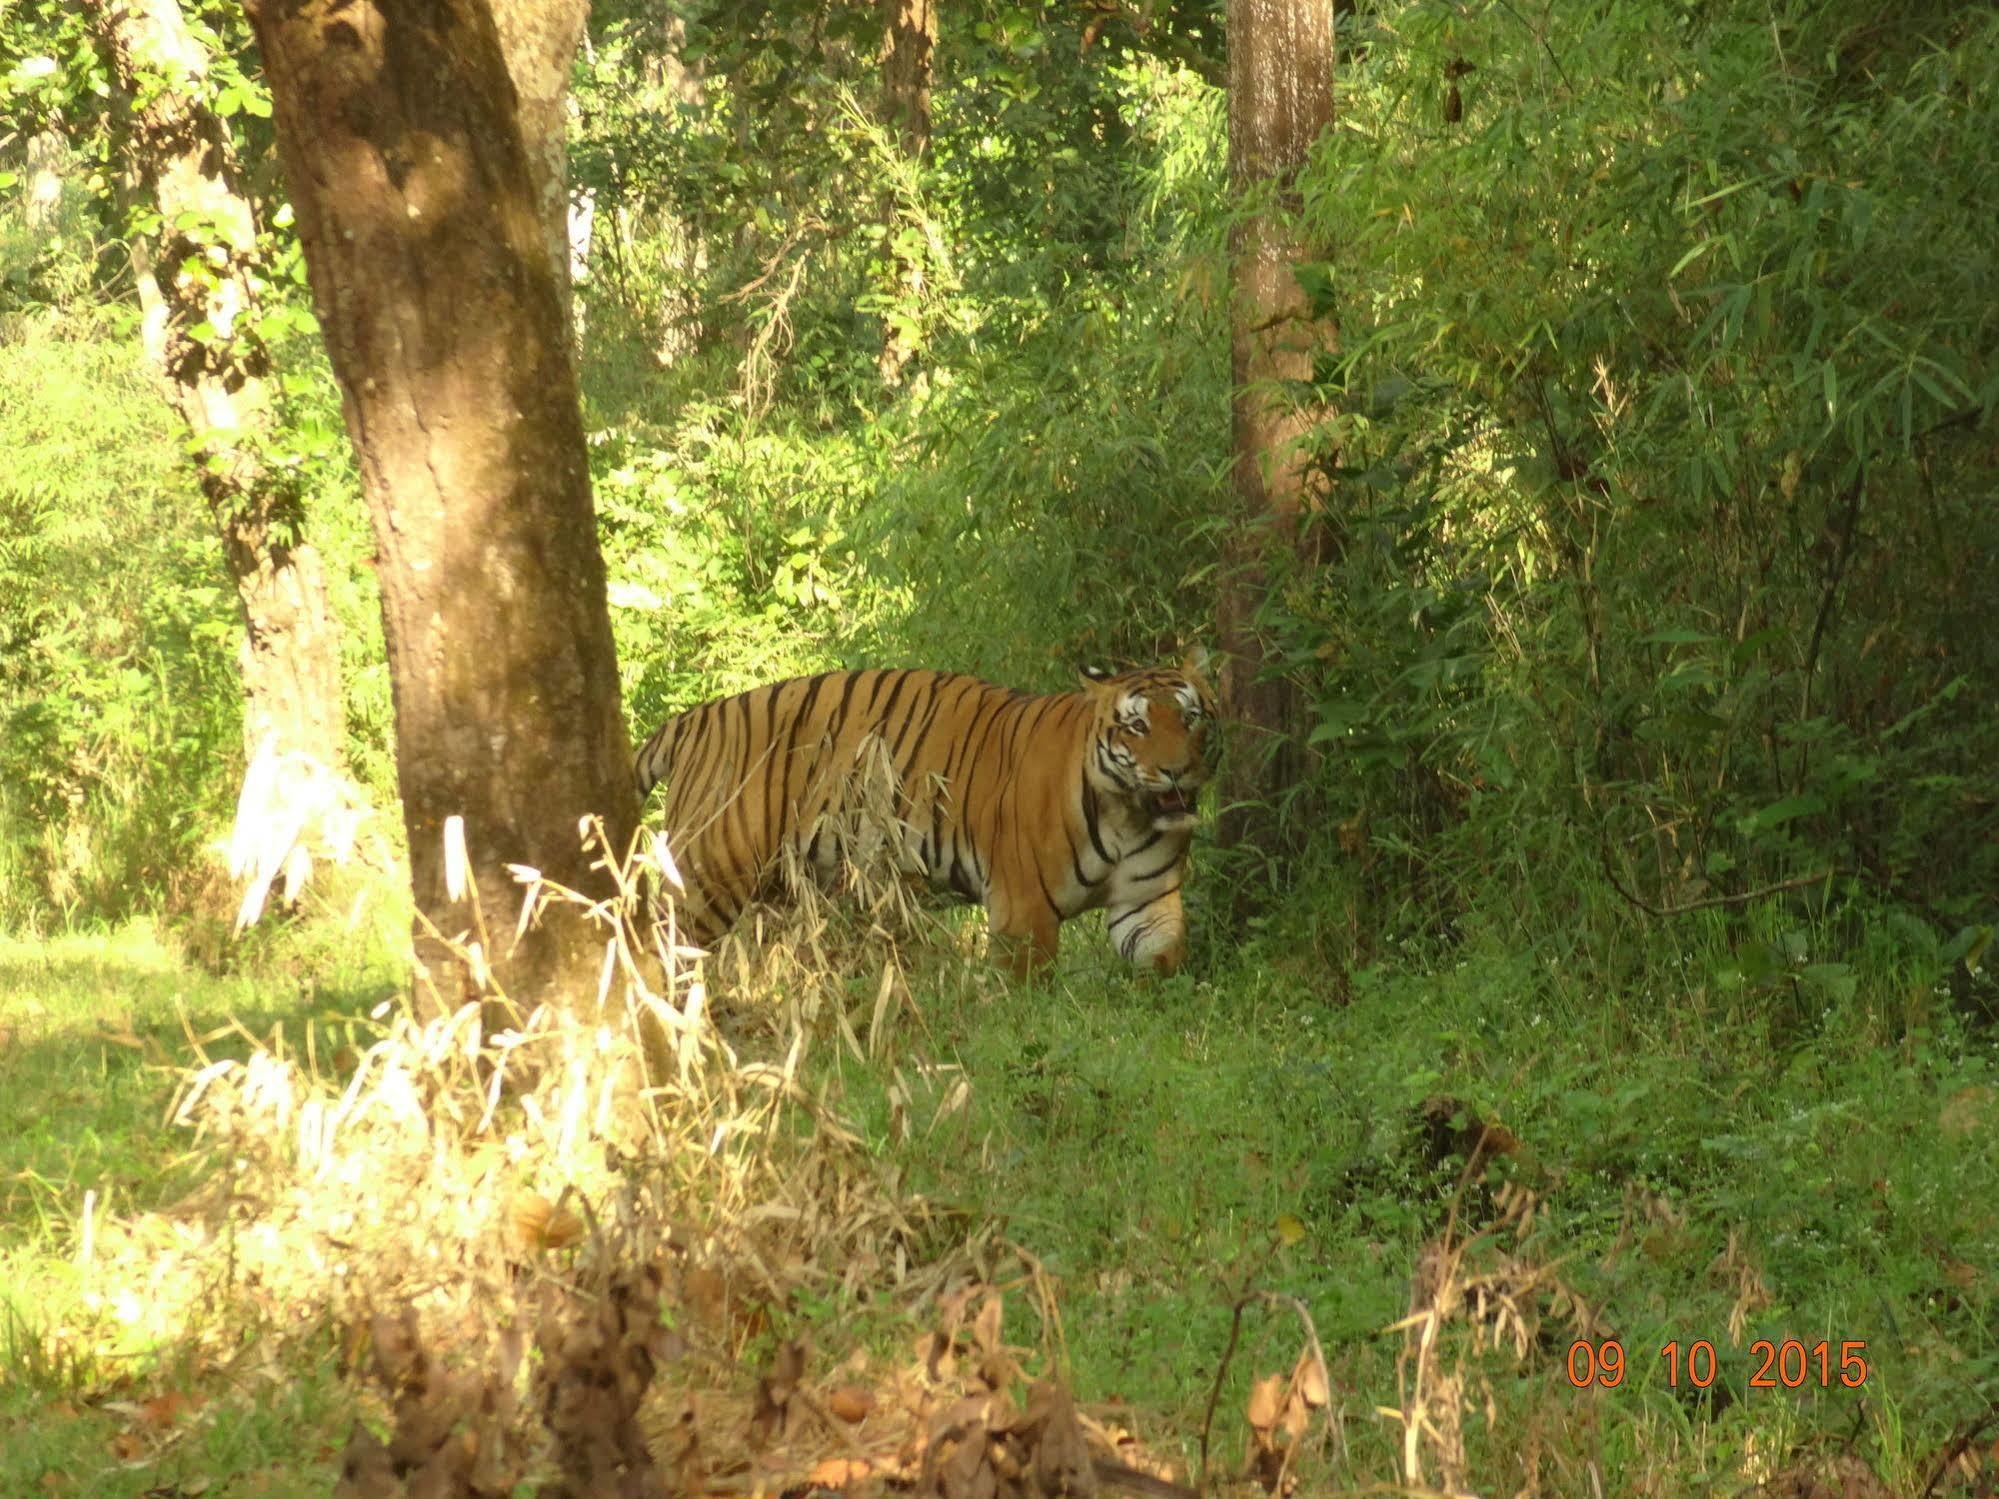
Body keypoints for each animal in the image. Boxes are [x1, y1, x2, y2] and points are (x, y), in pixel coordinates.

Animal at [631, 655, 1215, 975]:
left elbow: (1163, 967)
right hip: (708, 881)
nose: (1178, 772)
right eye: (1137, 727)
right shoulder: (1022, 911)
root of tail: (696, 718)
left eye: (1191, 717)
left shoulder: (1147, 905)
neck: (1128, 815)